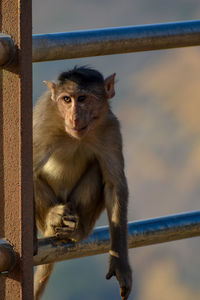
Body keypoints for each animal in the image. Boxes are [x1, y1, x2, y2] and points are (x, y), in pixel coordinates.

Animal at [33, 67, 132, 300]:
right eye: (66, 99)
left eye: (83, 99)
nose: (74, 117)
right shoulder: (43, 127)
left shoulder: (110, 129)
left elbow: (115, 186)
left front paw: (120, 263)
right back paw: (53, 221)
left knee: (98, 170)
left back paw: (78, 230)